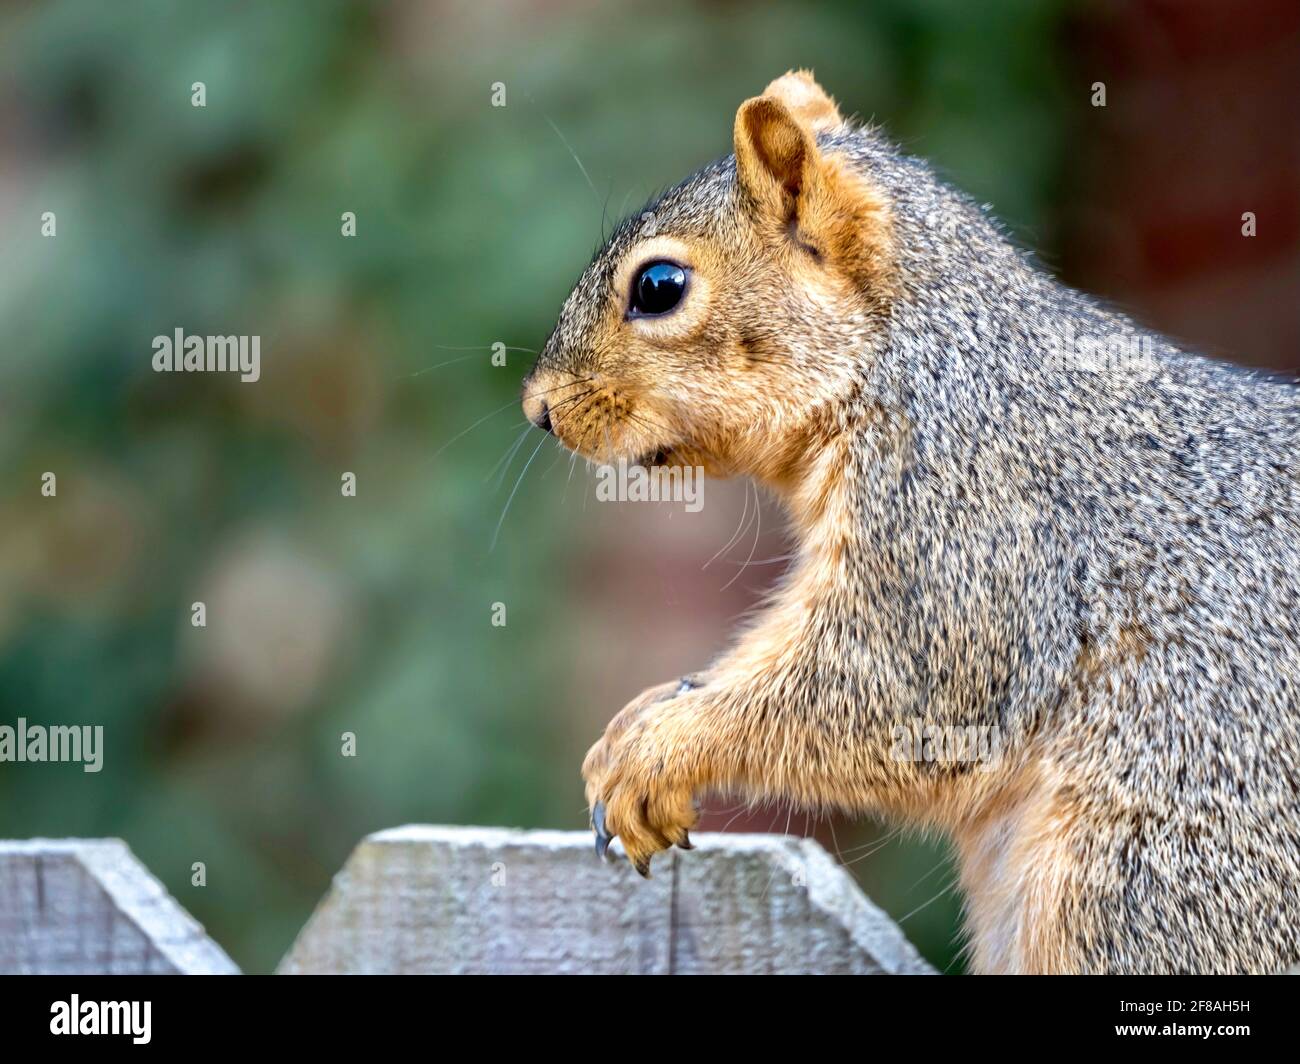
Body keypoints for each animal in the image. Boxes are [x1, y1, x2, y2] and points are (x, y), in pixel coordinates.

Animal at [520, 71, 1300, 974]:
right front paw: (644, 718)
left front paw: (659, 749)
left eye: (658, 287)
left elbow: (898, 684)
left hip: (1147, 883)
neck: (908, 359)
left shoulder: (963, 526)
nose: (538, 408)